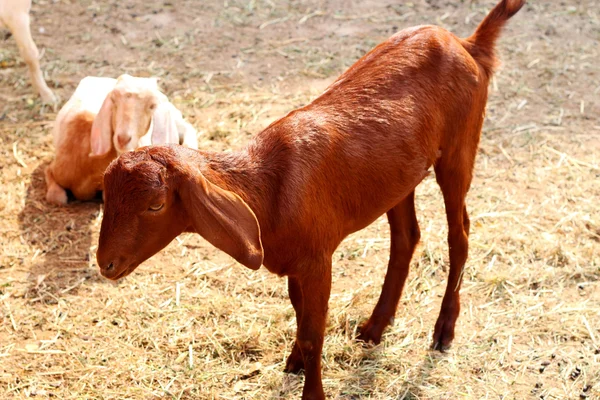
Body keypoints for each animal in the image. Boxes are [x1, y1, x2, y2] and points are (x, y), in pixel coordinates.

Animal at [96, 1, 524, 398]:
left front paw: (312, 388)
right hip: (400, 177)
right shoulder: (295, 264)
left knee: (459, 234)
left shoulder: (318, 261)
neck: (266, 190)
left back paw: (443, 330)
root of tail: (468, 44)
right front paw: (294, 363)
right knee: (407, 237)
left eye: (155, 205)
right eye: (106, 196)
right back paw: (375, 326)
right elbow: (301, 319)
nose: (106, 264)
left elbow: (313, 333)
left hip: (459, 148)